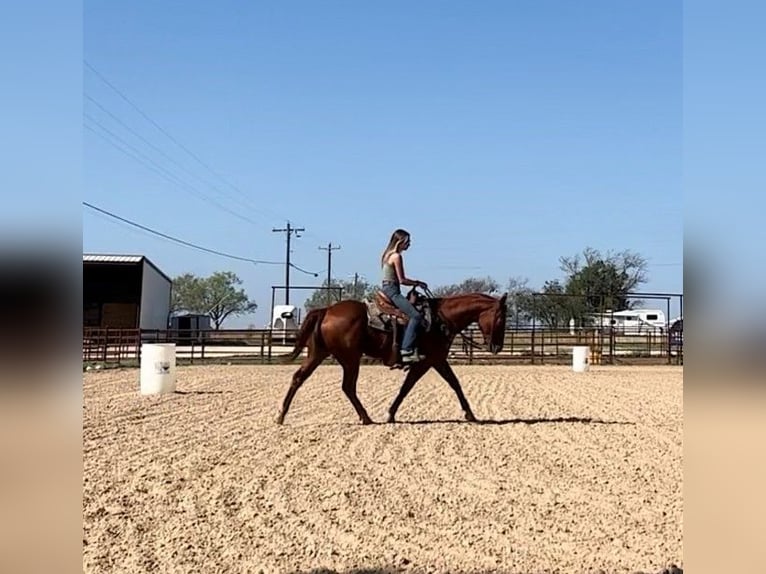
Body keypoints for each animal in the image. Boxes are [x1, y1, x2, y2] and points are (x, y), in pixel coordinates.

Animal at [276, 288, 510, 428]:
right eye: (501, 318)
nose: (496, 347)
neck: (440, 319)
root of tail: (327, 310)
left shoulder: (435, 361)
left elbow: (450, 384)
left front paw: (469, 413)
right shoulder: (430, 360)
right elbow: (415, 386)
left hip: (319, 354)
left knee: (299, 378)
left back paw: (281, 415)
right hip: (350, 359)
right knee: (348, 387)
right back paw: (366, 418)